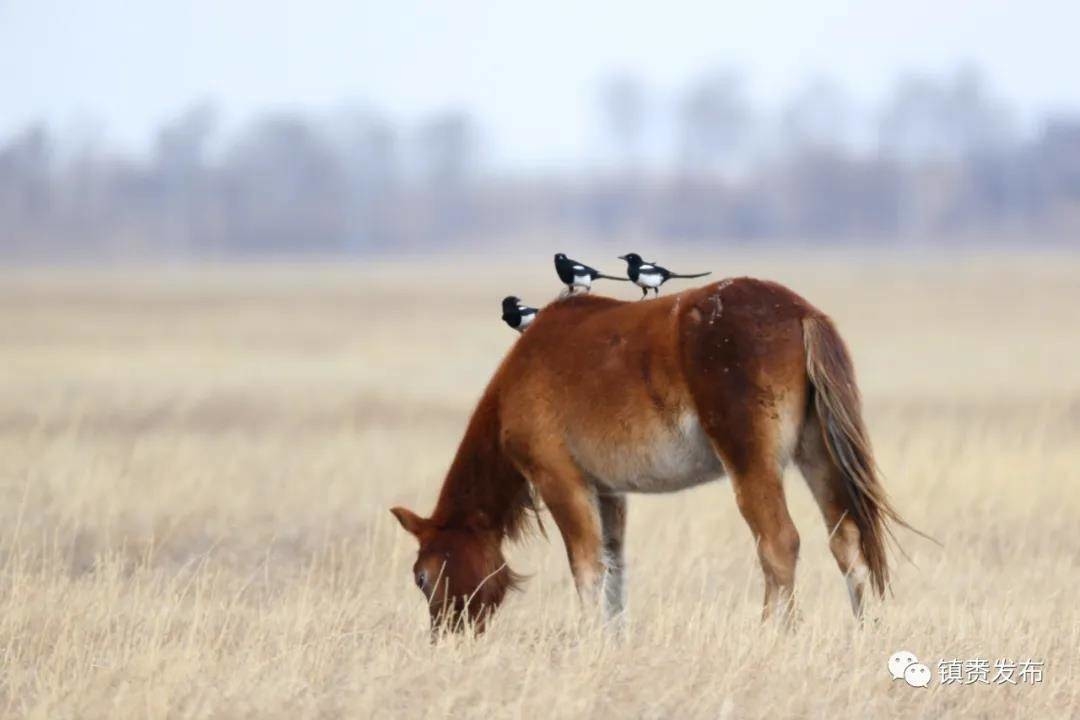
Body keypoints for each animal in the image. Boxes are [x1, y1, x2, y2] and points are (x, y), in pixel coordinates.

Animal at [388, 276, 911, 630]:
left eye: (422, 577)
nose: (446, 636)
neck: (520, 374)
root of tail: (801, 313)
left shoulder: (561, 482)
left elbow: (586, 568)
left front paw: (587, 642)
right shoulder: (608, 493)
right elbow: (614, 571)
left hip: (752, 467)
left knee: (779, 545)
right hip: (818, 457)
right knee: (847, 543)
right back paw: (864, 633)